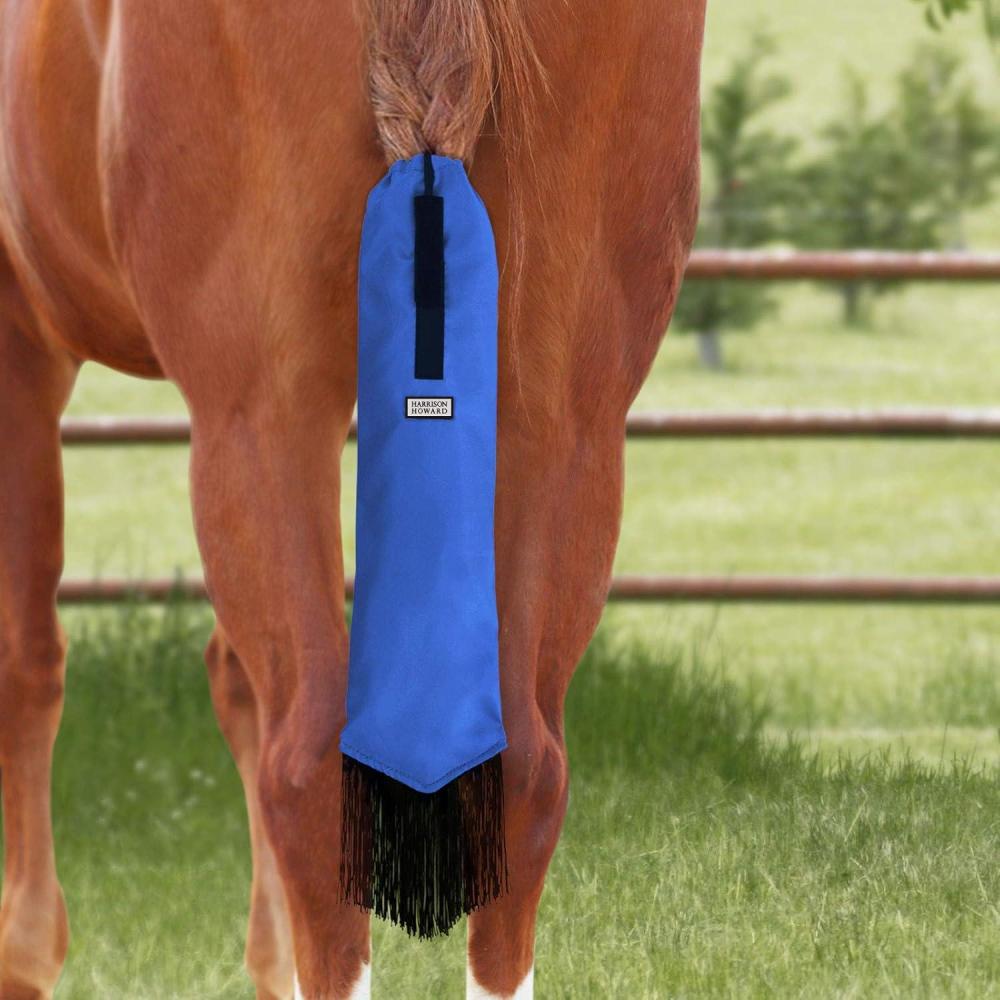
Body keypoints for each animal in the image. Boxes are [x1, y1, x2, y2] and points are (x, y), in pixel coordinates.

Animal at [0, 1, 705, 996]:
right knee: (524, 769)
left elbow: (27, 663)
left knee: (306, 770)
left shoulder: (21, 340)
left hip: (262, 412)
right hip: (565, 418)